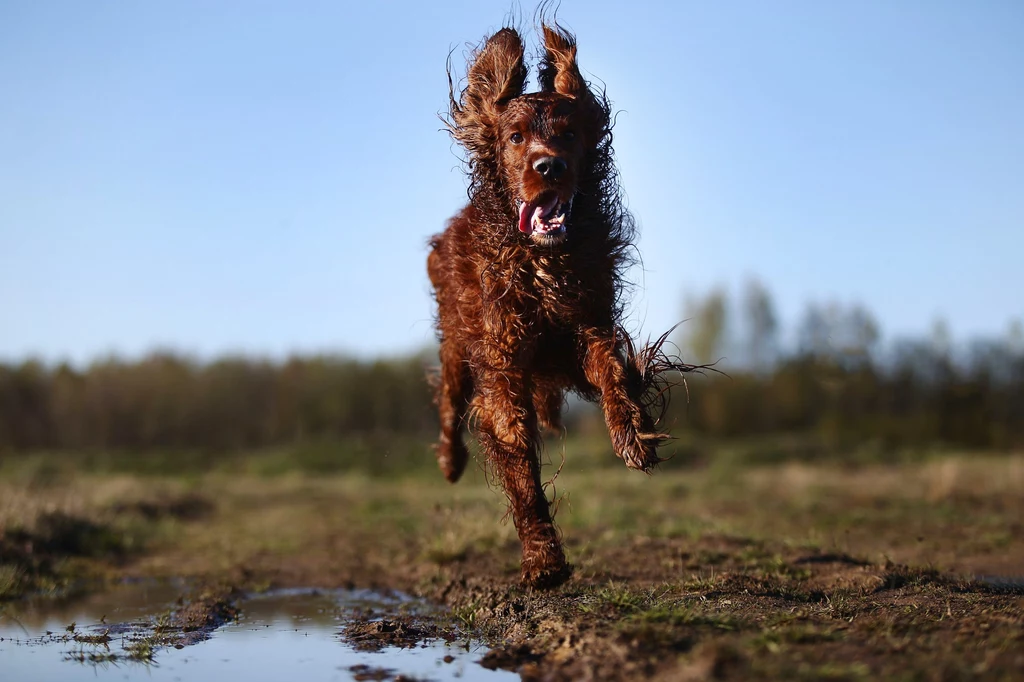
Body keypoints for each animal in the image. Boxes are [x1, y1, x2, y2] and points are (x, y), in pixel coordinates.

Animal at [425, 21, 675, 585]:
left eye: (569, 133)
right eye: (516, 136)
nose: (550, 166)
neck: (543, 263)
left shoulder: (587, 328)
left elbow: (612, 371)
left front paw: (631, 433)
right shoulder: (501, 362)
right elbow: (518, 463)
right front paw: (543, 557)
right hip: (455, 343)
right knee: (449, 399)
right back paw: (449, 461)